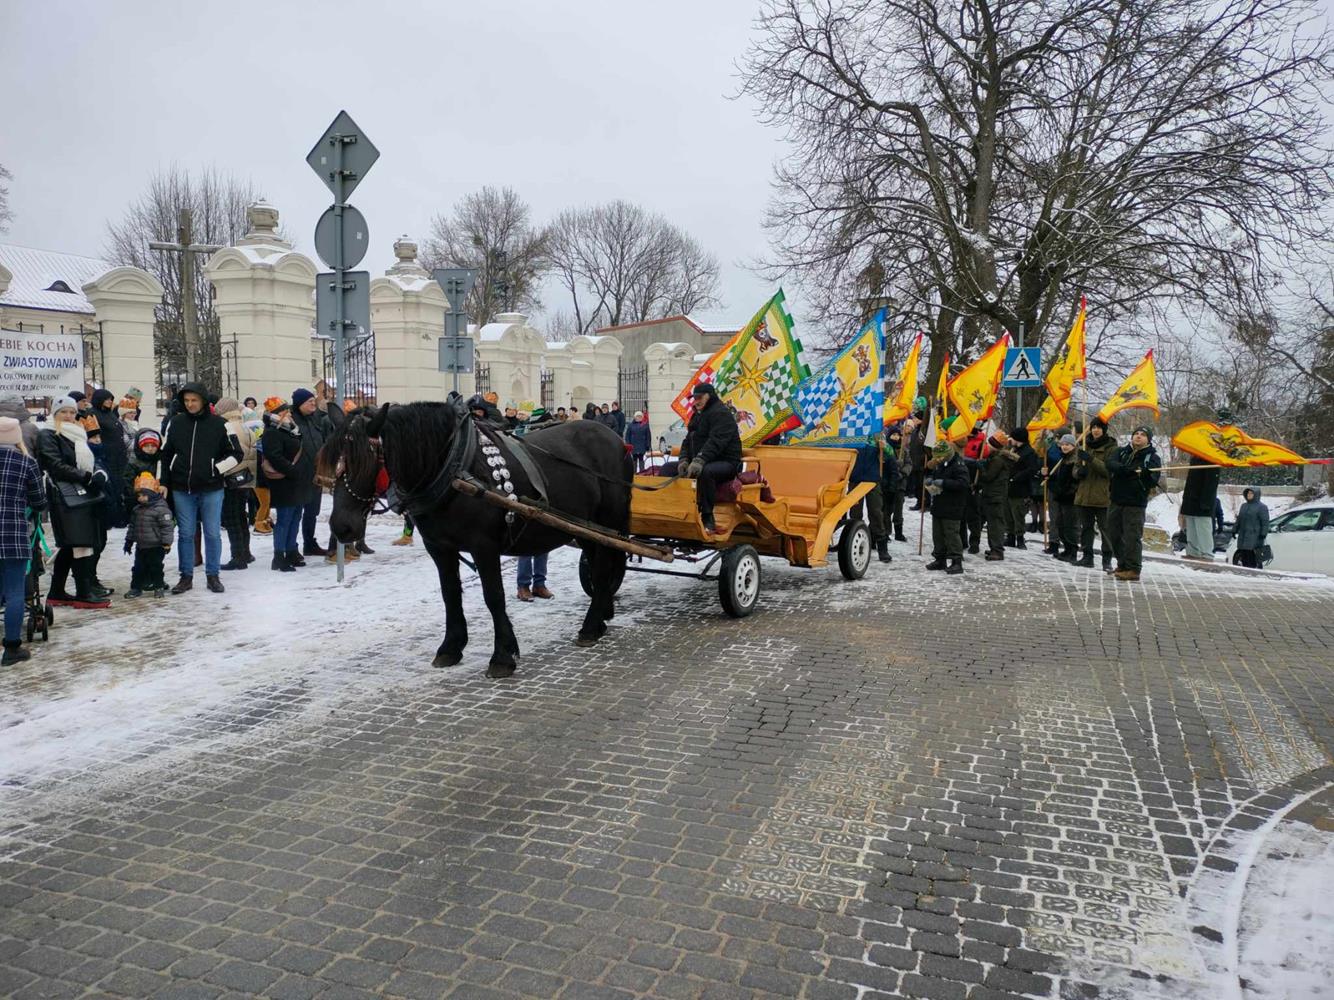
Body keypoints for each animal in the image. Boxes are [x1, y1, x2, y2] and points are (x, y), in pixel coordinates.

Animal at [320, 400, 631, 678]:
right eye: (331, 459)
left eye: (366, 460)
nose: (341, 527)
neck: (452, 468)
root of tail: (617, 440)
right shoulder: (439, 548)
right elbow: (450, 594)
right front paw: (450, 647)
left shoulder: (484, 547)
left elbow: (493, 596)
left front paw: (503, 656)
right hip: (588, 529)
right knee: (600, 567)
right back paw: (602, 616)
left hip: (607, 523)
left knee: (603, 569)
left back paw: (590, 626)